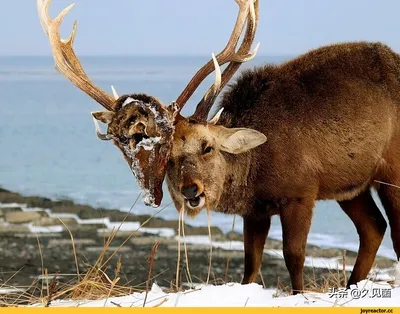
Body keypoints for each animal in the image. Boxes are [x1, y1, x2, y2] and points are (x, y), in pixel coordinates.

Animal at [38, 0, 400, 294]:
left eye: (207, 146)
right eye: (168, 157)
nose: (191, 190)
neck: (254, 171)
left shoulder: (301, 192)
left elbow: (294, 256)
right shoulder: (256, 210)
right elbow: (250, 266)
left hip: (391, 171)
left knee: (391, 232)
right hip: (352, 184)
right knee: (373, 228)